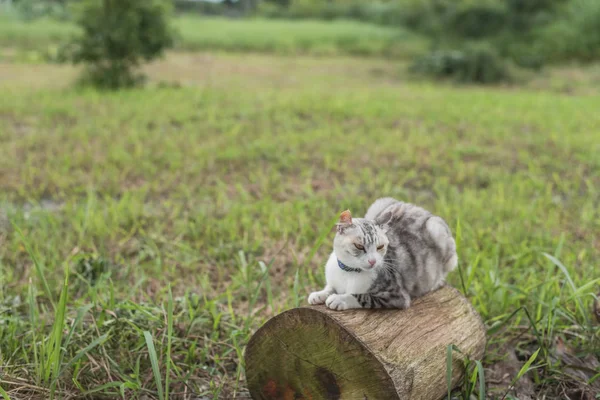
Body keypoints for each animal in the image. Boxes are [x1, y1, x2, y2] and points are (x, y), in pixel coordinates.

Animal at [308, 197, 458, 310]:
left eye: (380, 247)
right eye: (359, 246)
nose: (372, 261)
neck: (349, 273)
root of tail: (421, 209)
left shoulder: (396, 296)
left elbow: (361, 296)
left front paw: (339, 299)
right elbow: (330, 287)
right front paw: (319, 294)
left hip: (437, 232)